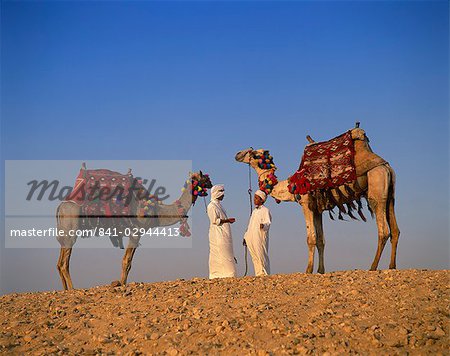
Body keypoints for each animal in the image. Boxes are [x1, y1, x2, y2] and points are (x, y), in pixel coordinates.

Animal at [234, 124, 400, 274]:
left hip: (376, 188)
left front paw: (308, 270)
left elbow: (311, 238)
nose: (238, 154)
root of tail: (386, 166)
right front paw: (320, 270)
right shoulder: (317, 210)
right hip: (390, 194)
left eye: (254, 153)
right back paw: (392, 265)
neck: (291, 185)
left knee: (383, 230)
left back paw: (373, 266)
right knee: (395, 230)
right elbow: (321, 240)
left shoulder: (306, 204)